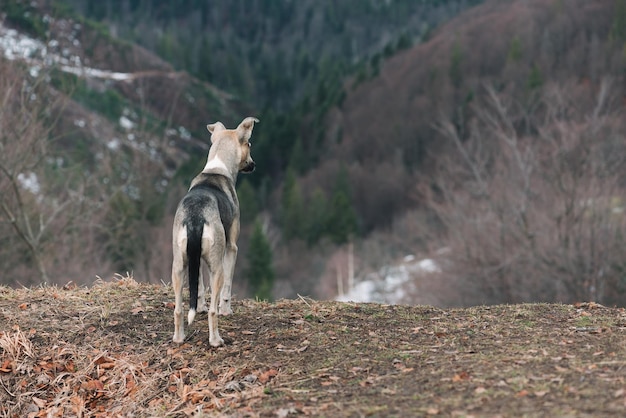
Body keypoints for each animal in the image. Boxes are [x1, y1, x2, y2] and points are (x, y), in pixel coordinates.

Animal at [169, 116, 258, 346]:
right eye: (249, 143)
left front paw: (199, 307)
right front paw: (227, 309)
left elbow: (198, 288)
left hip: (178, 266)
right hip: (217, 267)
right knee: (213, 311)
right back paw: (216, 340)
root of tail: (195, 218)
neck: (217, 168)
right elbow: (227, 288)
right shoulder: (231, 248)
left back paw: (179, 337)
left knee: (179, 310)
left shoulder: (196, 258)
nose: (253, 165)